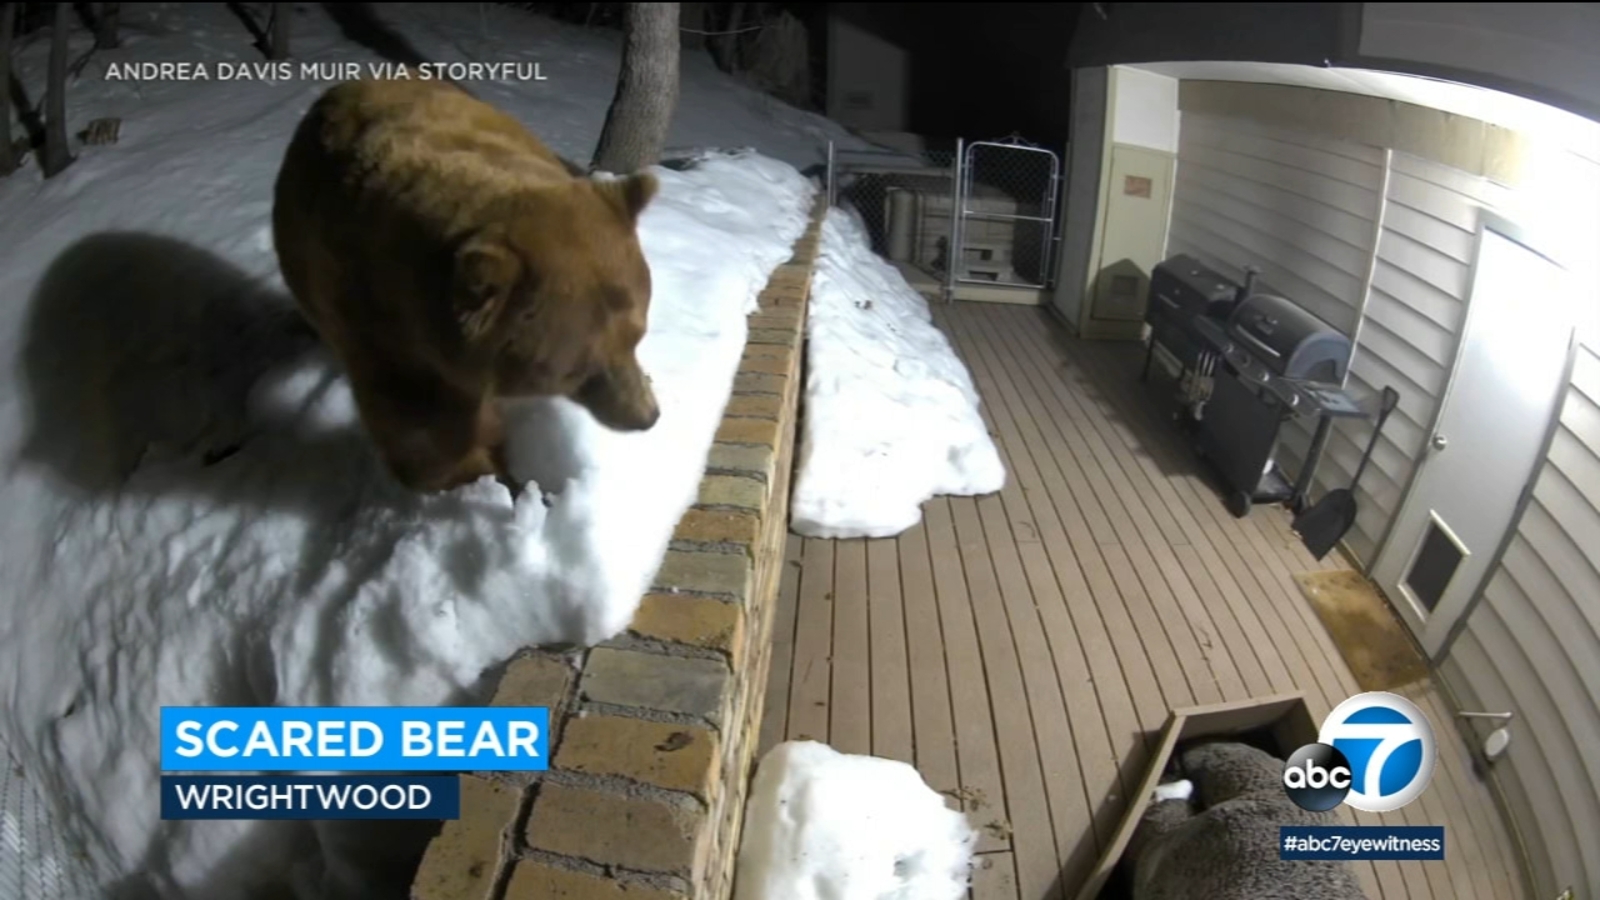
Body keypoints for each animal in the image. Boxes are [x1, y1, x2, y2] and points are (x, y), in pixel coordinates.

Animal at [271, 76, 662, 494]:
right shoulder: (378, 326)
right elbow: (423, 435)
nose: (647, 416)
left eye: (638, 334)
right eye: (576, 369)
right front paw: (492, 472)